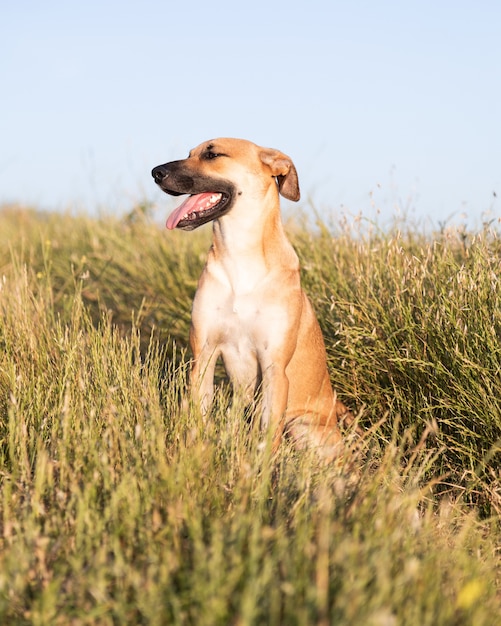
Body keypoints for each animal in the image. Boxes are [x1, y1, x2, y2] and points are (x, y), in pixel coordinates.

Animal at [152, 138, 352, 458]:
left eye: (212, 154)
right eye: (189, 154)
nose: (156, 173)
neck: (240, 257)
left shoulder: (274, 368)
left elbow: (268, 439)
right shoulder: (203, 356)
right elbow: (198, 416)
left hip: (302, 426)